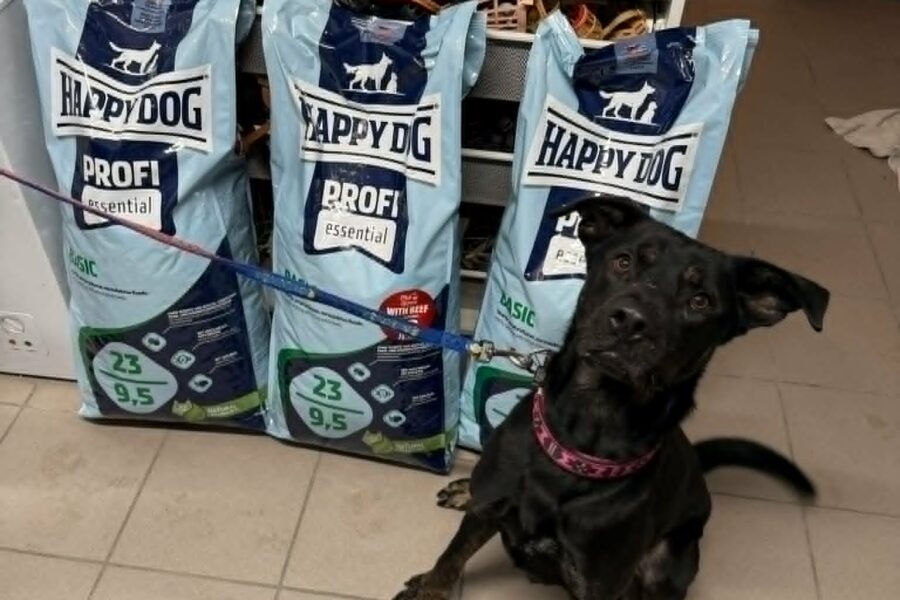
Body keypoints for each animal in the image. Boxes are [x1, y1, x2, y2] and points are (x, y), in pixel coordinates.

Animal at [394, 195, 829, 600]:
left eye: (700, 300)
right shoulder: (488, 507)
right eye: (623, 262)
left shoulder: (599, 581)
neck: (581, 435)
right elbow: (450, 559)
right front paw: (429, 587)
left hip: (669, 560)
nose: (631, 321)